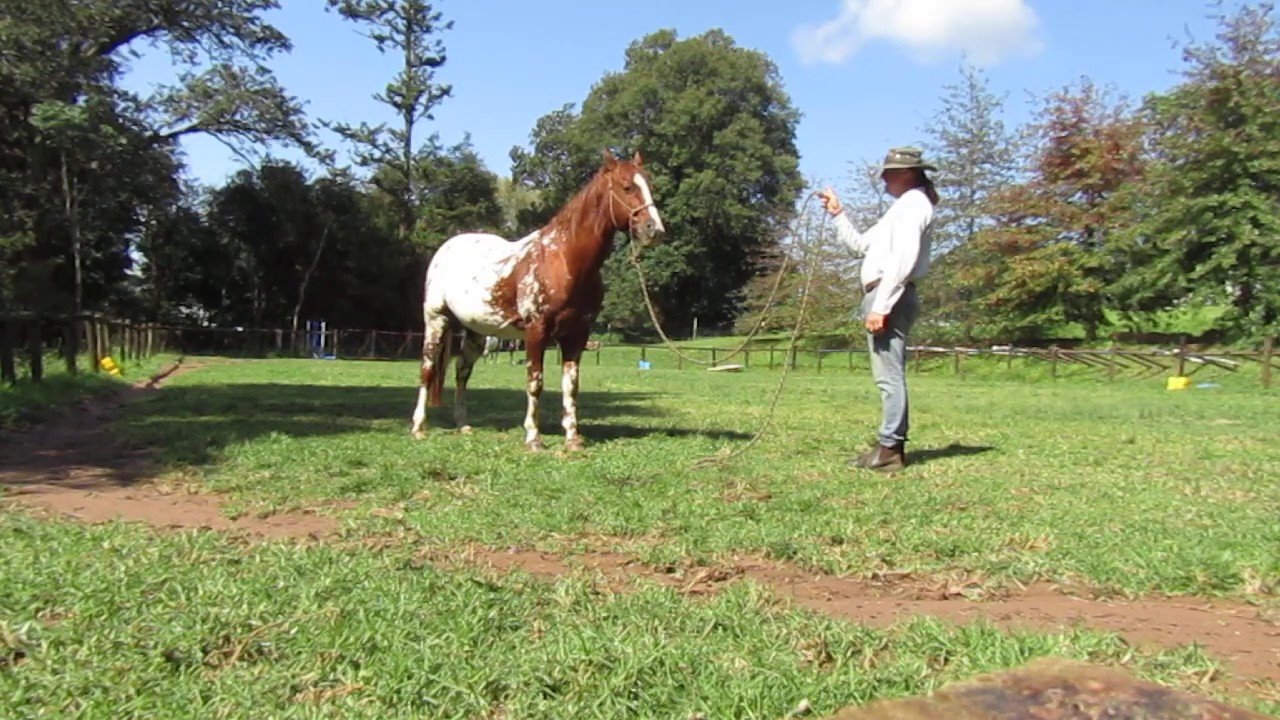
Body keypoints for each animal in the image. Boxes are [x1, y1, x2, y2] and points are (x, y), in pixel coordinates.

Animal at [410, 149, 667, 452]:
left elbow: (571, 385)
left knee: (462, 371)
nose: (655, 230)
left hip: (476, 332)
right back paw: (418, 428)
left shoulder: (577, 334)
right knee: (427, 369)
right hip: (436, 321)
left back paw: (463, 425)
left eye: (649, 185)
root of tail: (446, 248)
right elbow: (535, 381)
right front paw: (534, 438)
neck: (564, 260)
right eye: (627, 187)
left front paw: (573, 440)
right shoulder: (536, 331)